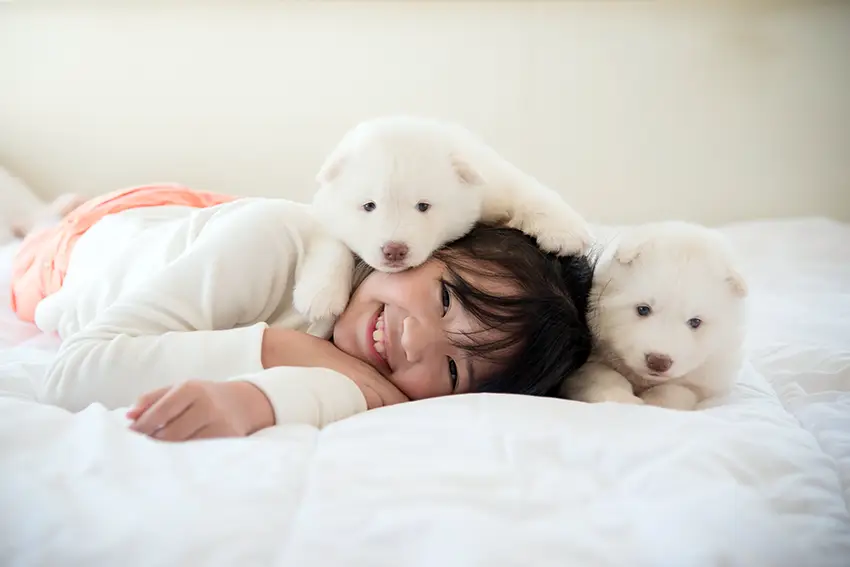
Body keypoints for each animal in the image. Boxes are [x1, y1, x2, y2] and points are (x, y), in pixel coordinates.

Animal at [294, 116, 592, 322]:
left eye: (423, 206)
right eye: (369, 206)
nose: (394, 250)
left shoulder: (491, 184)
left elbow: (526, 190)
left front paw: (564, 232)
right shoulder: (325, 211)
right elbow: (332, 242)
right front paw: (320, 295)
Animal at [560, 220, 744, 410]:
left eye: (695, 322)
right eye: (643, 309)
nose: (659, 361)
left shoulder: (706, 379)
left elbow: (674, 391)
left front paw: (653, 403)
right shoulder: (587, 364)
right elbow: (604, 377)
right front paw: (623, 400)